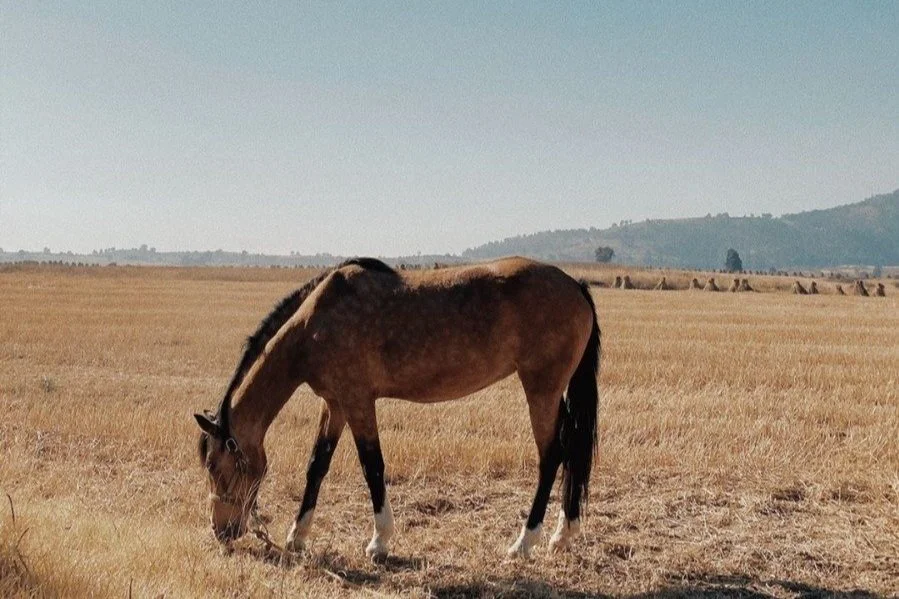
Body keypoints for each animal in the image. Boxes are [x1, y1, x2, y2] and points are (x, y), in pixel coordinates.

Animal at [194, 256, 600, 559]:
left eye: (214, 465)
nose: (220, 531)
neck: (315, 324)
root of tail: (576, 285)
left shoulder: (358, 402)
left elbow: (372, 466)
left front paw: (379, 541)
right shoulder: (335, 404)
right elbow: (317, 467)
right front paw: (297, 536)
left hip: (541, 390)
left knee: (552, 456)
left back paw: (524, 542)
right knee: (571, 451)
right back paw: (563, 534)